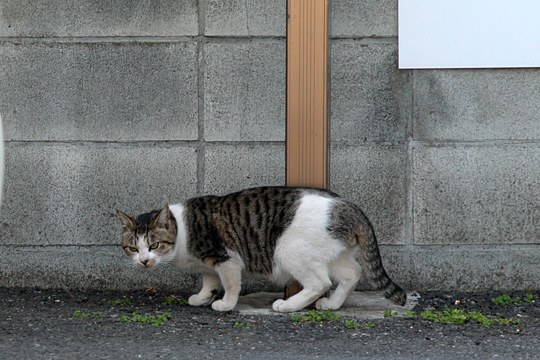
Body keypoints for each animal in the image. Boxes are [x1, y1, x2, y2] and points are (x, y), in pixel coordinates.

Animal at [117, 186, 404, 312]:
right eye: (132, 248)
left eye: (153, 245)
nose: (144, 261)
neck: (182, 231)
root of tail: (350, 206)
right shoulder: (209, 262)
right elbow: (209, 280)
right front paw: (202, 297)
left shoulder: (226, 257)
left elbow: (230, 284)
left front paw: (225, 304)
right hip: (333, 253)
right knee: (352, 274)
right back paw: (332, 305)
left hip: (288, 249)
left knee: (320, 282)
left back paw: (287, 306)